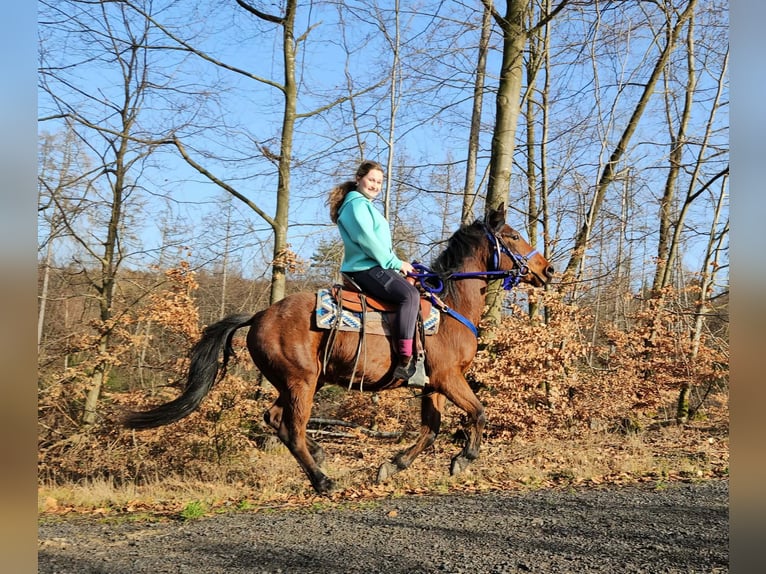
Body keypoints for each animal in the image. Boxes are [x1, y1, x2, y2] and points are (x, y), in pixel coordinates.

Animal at [124, 204, 554, 494]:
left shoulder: (433, 384)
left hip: (294, 381)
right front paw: (463, 459)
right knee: (292, 428)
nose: (547, 270)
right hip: (301, 381)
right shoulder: (449, 378)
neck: (450, 306)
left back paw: (320, 458)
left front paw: (393, 466)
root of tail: (260, 314)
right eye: (512, 236)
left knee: (275, 418)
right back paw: (322, 480)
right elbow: (479, 412)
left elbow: (431, 429)